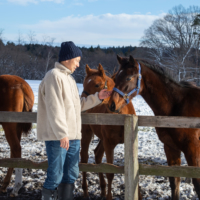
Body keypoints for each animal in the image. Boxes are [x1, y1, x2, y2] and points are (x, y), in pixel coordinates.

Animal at [80, 64, 142, 200]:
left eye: (97, 85)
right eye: (84, 84)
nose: (82, 103)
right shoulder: (109, 144)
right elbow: (110, 173)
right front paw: (109, 196)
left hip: (102, 139)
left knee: (97, 155)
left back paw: (102, 189)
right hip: (87, 134)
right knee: (84, 159)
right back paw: (86, 192)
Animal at [108, 54, 200, 200]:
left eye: (128, 78)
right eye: (116, 77)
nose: (112, 105)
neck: (177, 106)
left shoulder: (193, 149)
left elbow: (197, 184)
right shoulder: (171, 148)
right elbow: (175, 183)